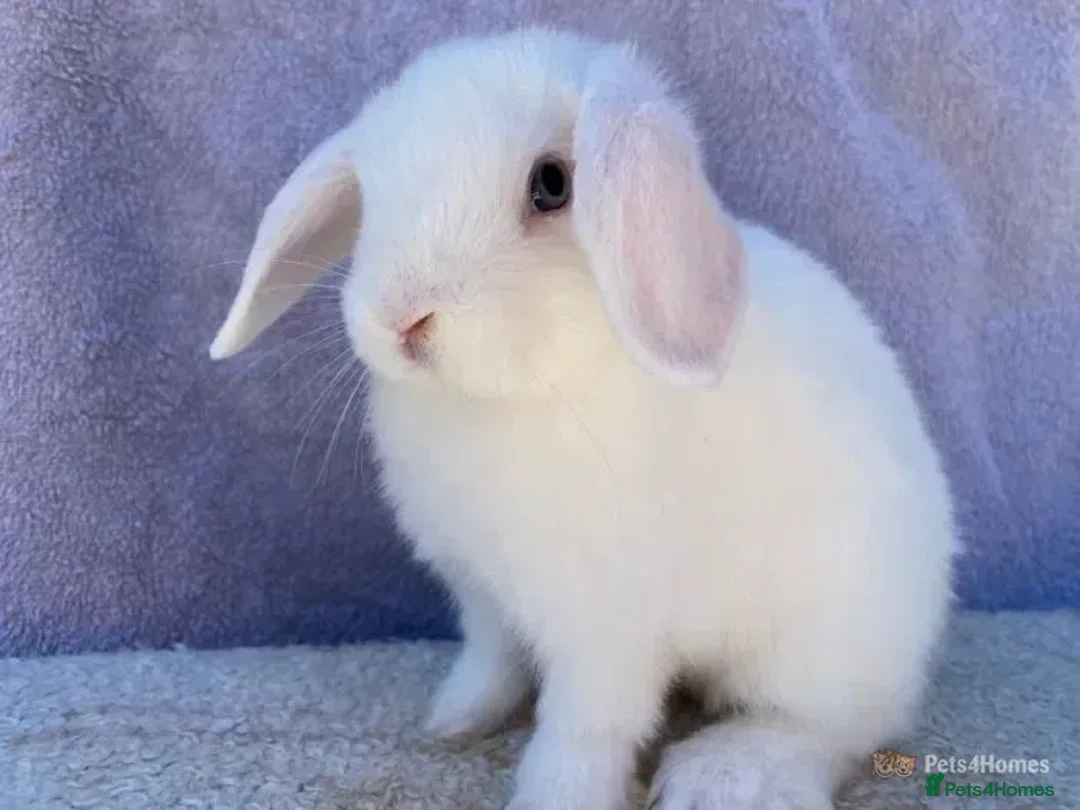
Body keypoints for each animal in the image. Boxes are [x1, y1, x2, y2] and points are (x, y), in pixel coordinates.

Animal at [209, 27, 958, 810]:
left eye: (551, 184)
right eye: (372, 192)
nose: (401, 317)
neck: (518, 395)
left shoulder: (607, 633)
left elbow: (582, 727)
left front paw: (553, 795)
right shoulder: (482, 594)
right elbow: (491, 662)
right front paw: (454, 721)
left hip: (814, 651)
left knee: (830, 729)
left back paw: (726, 774)